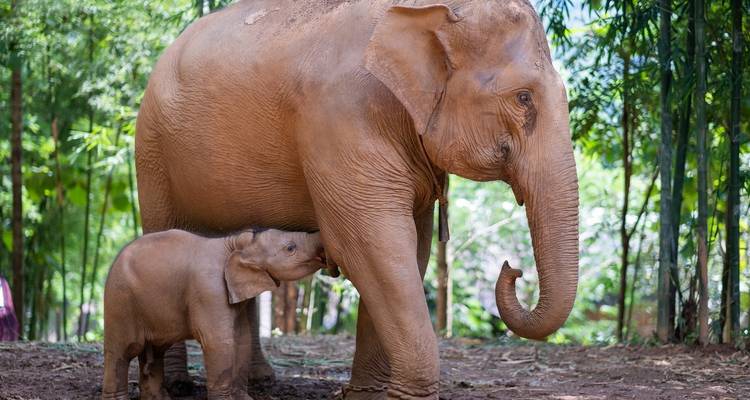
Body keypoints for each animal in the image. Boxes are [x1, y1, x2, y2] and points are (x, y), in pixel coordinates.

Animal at [102, 229, 326, 400]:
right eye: (290, 248)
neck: (236, 242)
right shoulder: (209, 289)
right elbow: (219, 342)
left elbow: (242, 339)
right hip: (119, 301)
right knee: (122, 352)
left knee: (155, 353)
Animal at [134, 0, 579, 398]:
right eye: (523, 98)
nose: (512, 268)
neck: (426, 10)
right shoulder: (341, 120)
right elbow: (372, 247)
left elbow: (410, 250)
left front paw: (366, 394)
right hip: (152, 152)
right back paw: (178, 385)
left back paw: (261, 382)